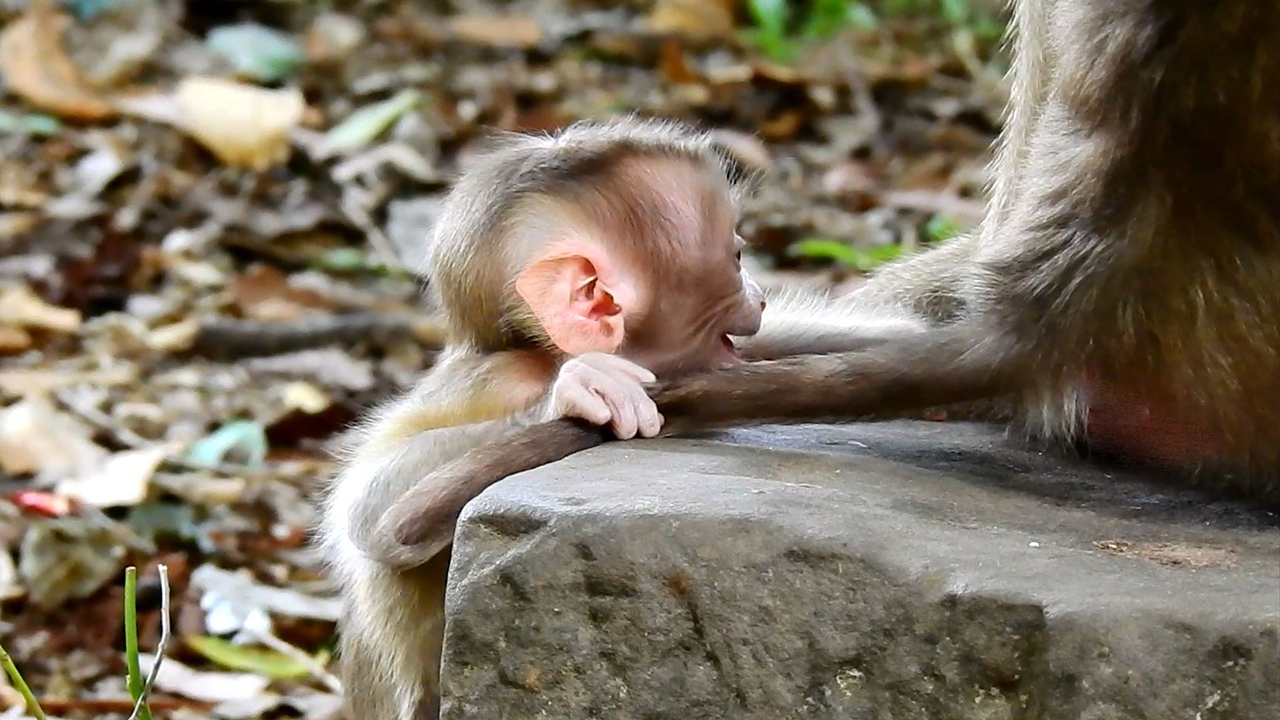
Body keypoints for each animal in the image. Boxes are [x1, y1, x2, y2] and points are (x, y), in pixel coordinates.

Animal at [316, 119, 762, 717]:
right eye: (735, 258)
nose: (760, 294)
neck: (540, 353)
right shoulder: (501, 381)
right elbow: (369, 508)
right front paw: (578, 389)